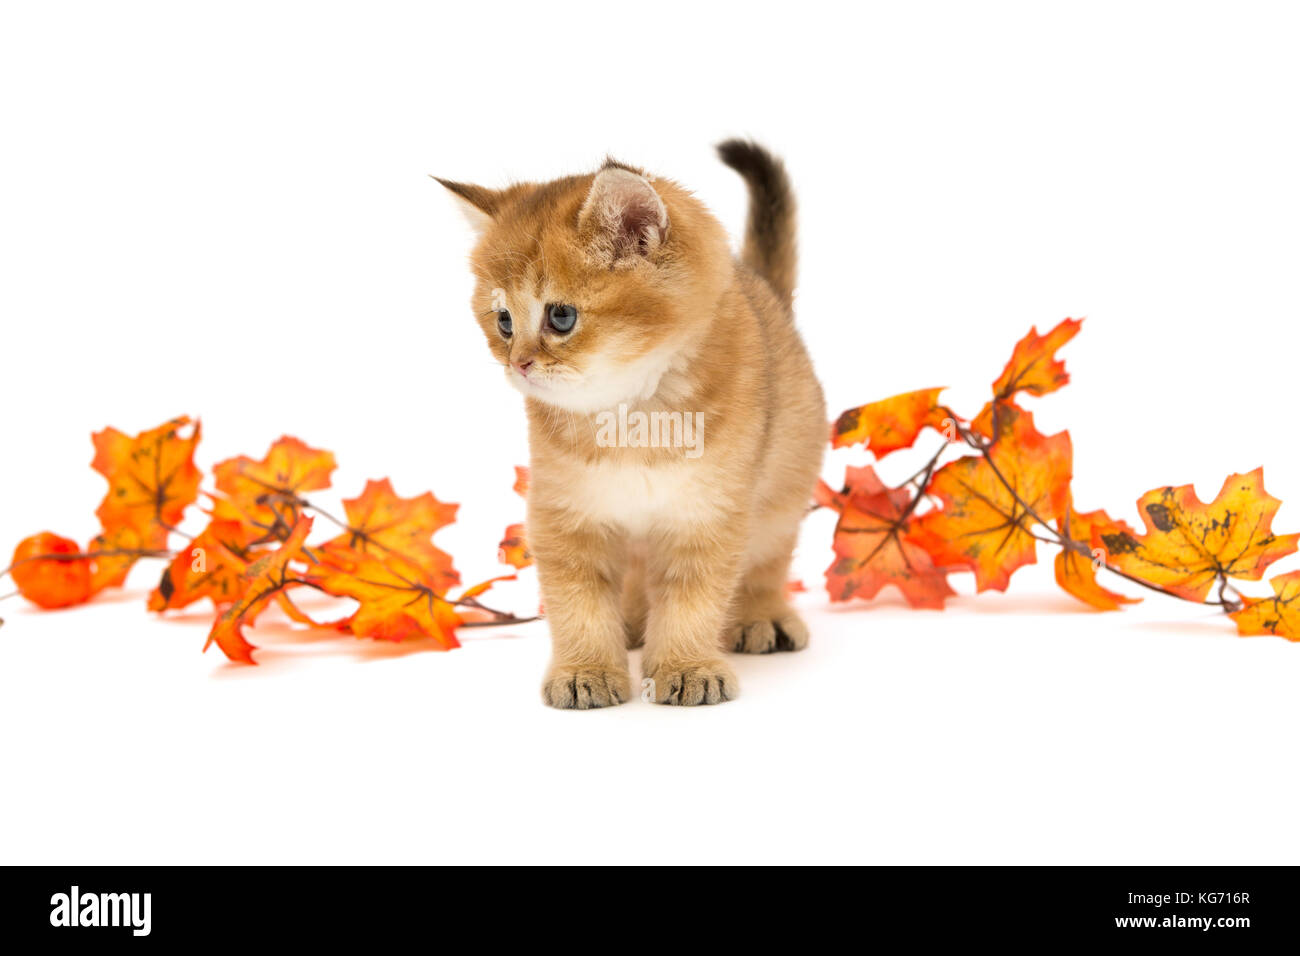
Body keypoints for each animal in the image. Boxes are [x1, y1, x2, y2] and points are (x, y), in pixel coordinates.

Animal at [436, 143, 821, 712]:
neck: (632, 420)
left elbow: (692, 599)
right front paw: (586, 671)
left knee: (768, 560)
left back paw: (762, 617)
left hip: (782, 492)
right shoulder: (565, 516)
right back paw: (634, 622)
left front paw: (686, 667)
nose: (519, 363)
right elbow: (578, 603)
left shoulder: (708, 513)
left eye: (561, 317)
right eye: (503, 321)